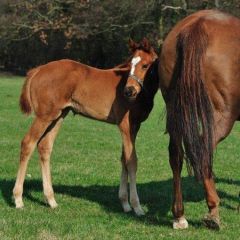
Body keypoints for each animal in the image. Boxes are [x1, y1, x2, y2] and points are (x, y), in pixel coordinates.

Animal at [13, 39, 159, 216]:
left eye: (145, 65)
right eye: (130, 63)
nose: (128, 91)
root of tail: (38, 69)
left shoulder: (134, 127)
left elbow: (124, 158)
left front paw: (125, 204)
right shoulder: (125, 125)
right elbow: (132, 161)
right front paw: (137, 207)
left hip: (58, 116)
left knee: (44, 147)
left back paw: (51, 200)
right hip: (44, 116)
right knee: (28, 143)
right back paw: (18, 199)